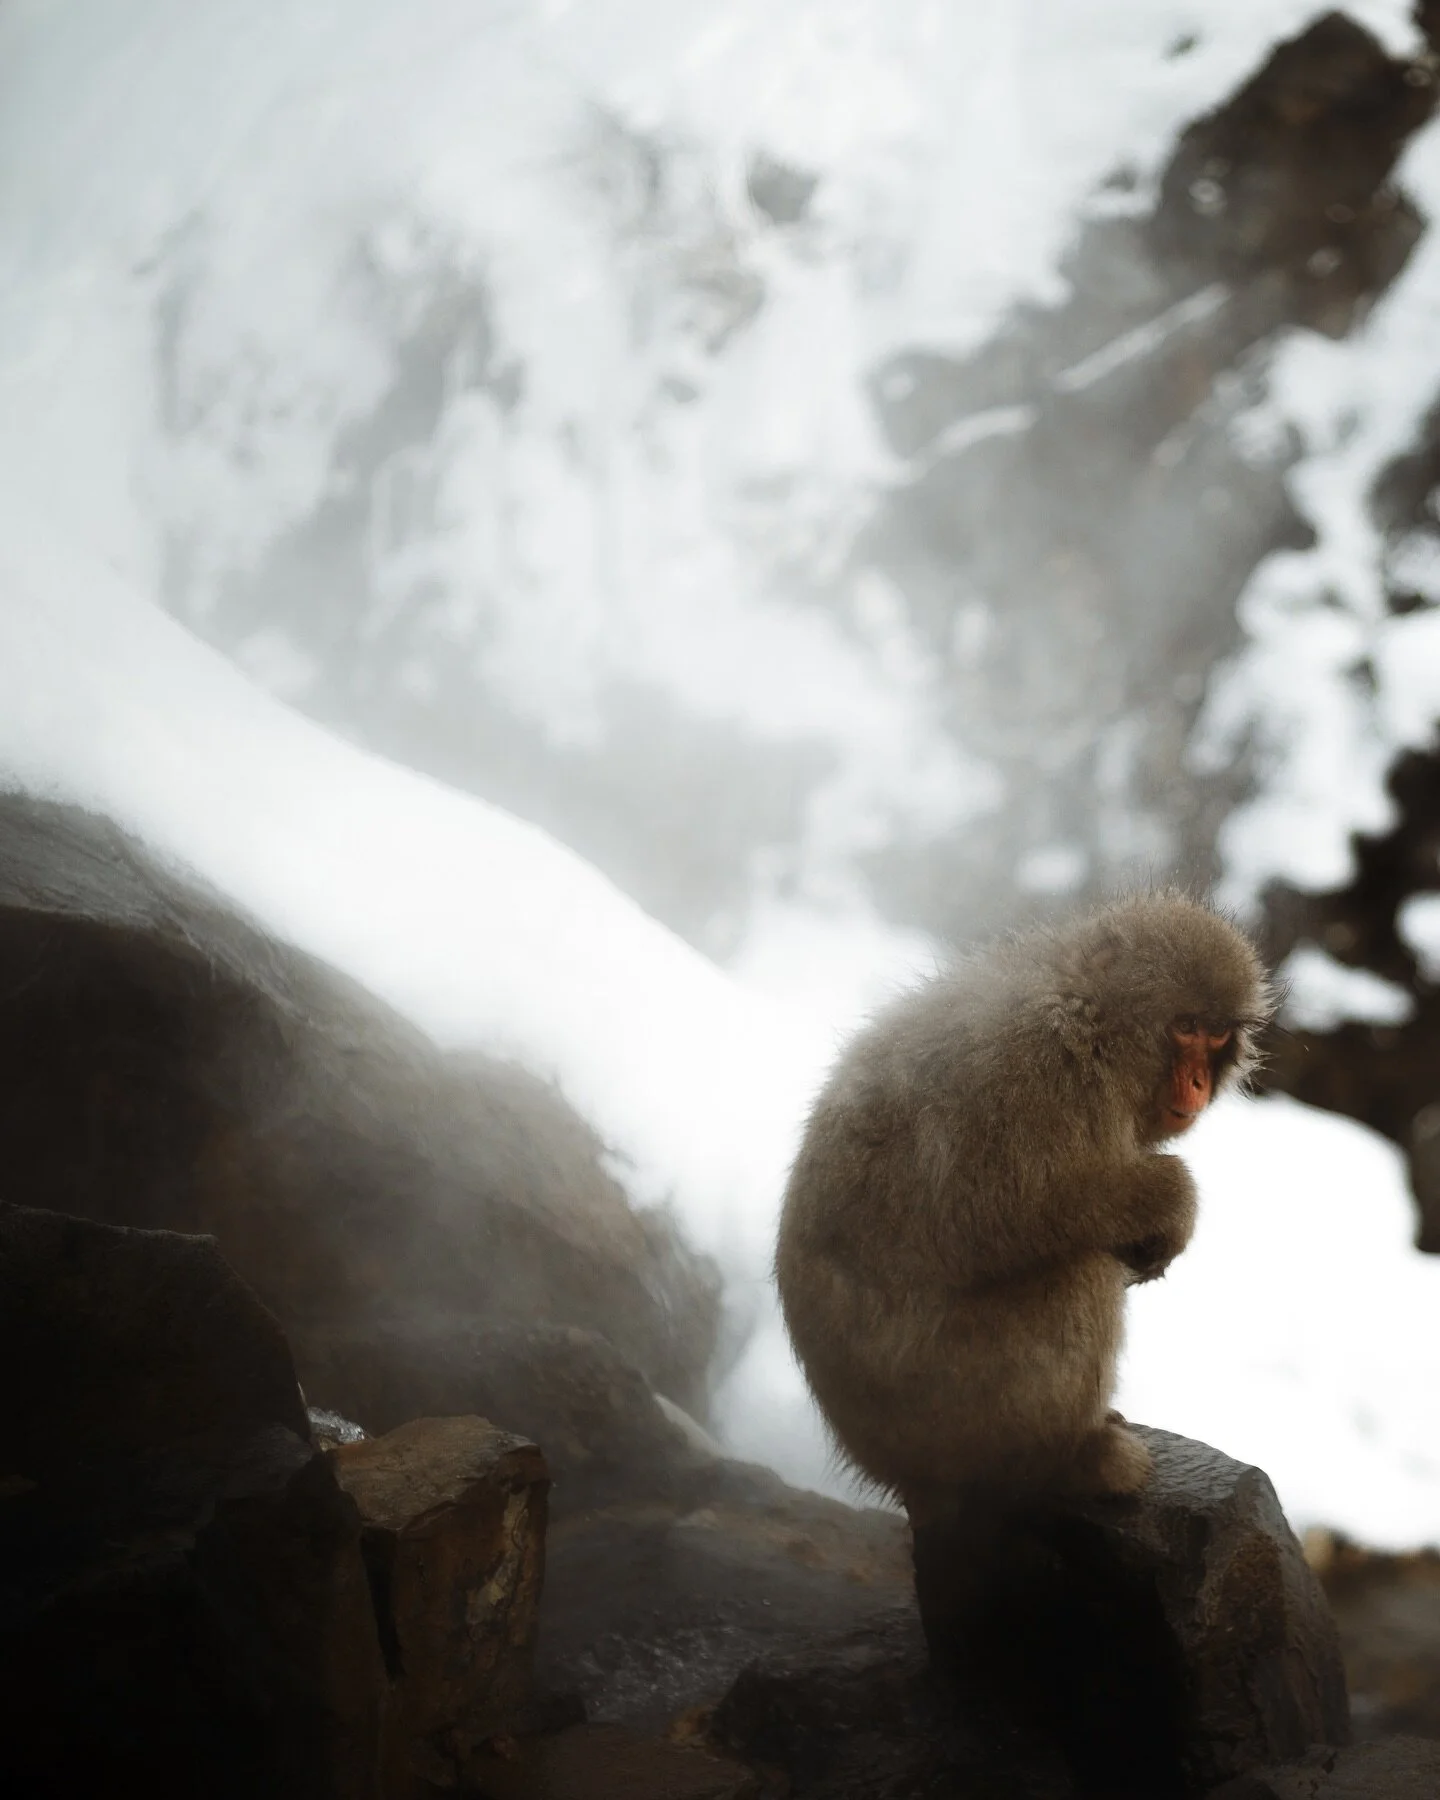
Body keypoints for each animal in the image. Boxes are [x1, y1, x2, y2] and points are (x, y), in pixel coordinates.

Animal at [774, 892, 1272, 1529]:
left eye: (1217, 1035)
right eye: (1185, 1027)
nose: (1198, 1081)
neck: (1091, 1020)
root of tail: (887, 1468)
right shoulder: (1036, 1067)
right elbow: (996, 1209)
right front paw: (1172, 1201)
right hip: (953, 1407)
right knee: (1078, 1270)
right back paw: (1068, 1462)